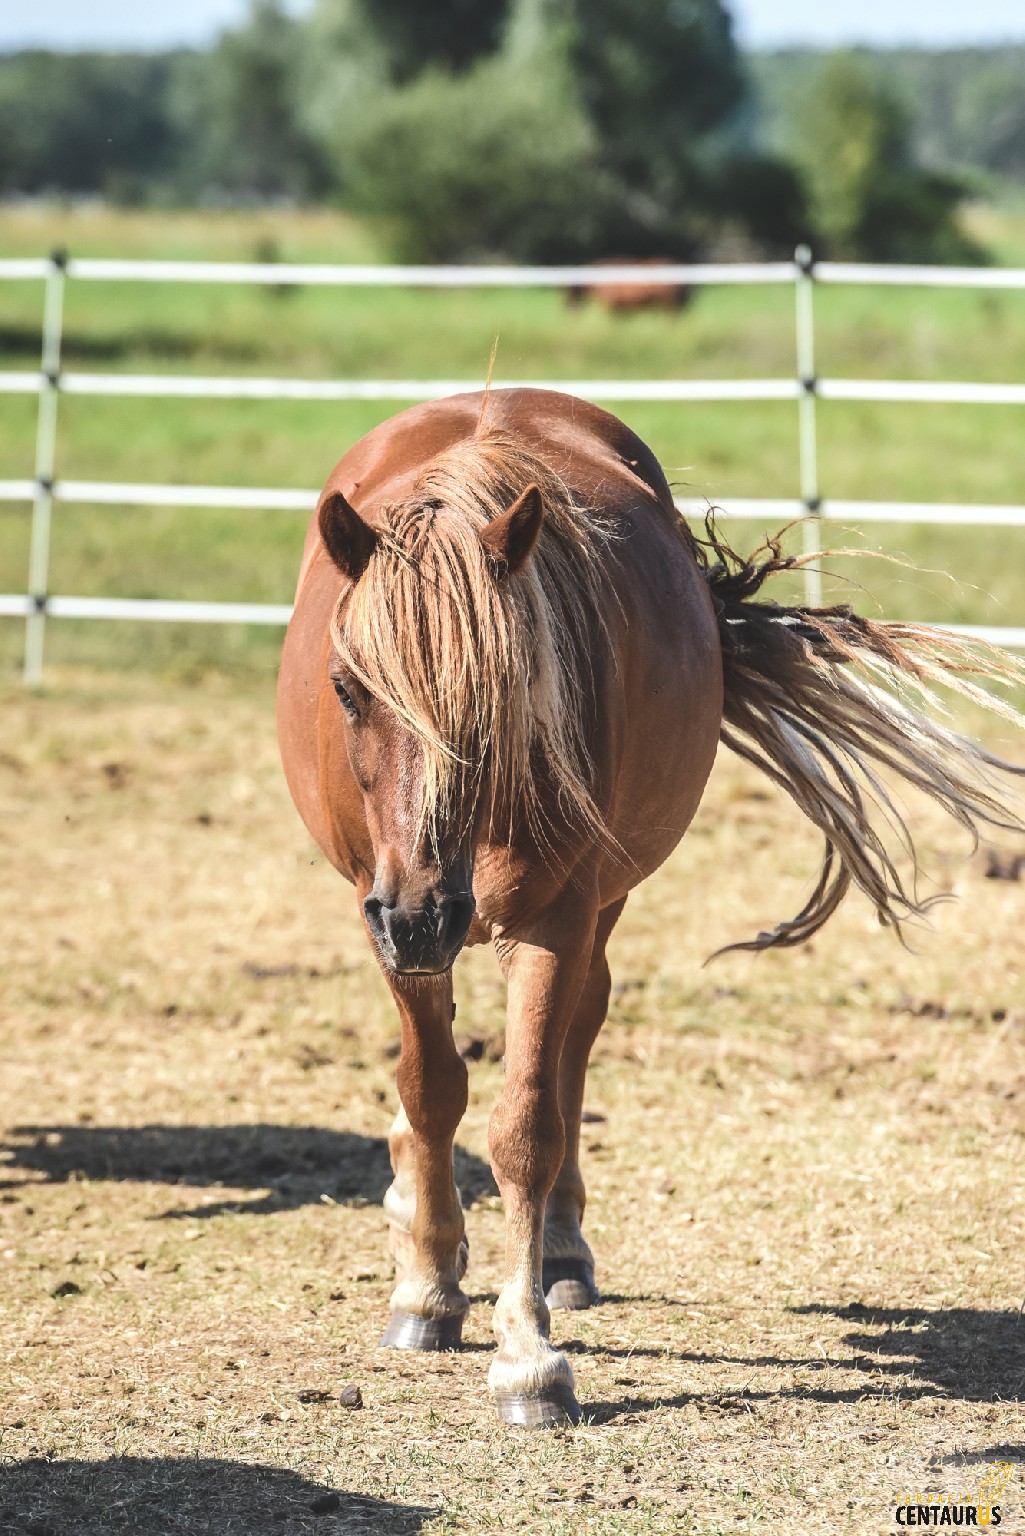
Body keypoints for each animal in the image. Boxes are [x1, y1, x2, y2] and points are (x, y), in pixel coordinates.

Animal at [276, 387, 1020, 1425]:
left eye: (500, 693)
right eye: (347, 688)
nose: (423, 914)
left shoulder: (552, 915)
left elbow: (526, 1124)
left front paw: (528, 1356)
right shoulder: (376, 906)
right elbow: (431, 1090)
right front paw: (426, 1286)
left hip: (602, 899)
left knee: (574, 1047)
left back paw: (557, 1253)